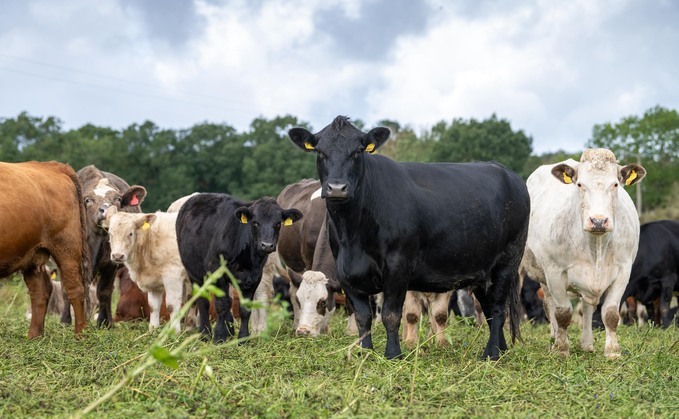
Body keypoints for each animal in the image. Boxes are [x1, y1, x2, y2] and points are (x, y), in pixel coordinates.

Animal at [0, 161, 90, 338]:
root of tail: (53, 166)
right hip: (33, 255)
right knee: (40, 291)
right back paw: (34, 336)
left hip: (67, 248)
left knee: (75, 288)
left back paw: (81, 335)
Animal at [61, 165, 147, 328]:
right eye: (88, 200)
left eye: (118, 199)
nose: (106, 210)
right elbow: (67, 289)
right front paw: (66, 321)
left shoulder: (112, 263)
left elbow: (104, 292)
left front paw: (103, 322)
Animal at [175, 193, 302, 342]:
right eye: (255, 222)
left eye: (278, 223)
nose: (267, 245)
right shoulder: (217, 271)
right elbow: (221, 305)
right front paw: (219, 336)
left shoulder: (254, 276)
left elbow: (245, 308)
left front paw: (243, 338)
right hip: (194, 272)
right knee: (203, 300)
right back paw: (205, 333)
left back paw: (229, 330)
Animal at [288, 116, 529, 360]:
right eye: (320, 151)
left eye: (357, 151)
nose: (337, 188)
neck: (353, 233)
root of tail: (507, 172)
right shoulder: (346, 272)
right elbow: (363, 317)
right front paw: (366, 353)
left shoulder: (398, 265)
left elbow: (391, 314)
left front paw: (393, 355)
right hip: (481, 268)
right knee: (489, 308)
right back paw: (501, 348)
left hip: (508, 261)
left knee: (498, 307)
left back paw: (491, 354)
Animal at [521, 148, 645, 358]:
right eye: (580, 184)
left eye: (615, 184)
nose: (598, 220)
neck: (596, 246)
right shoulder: (554, 272)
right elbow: (563, 313)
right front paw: (562, 349)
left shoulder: (623, 271)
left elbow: (610, 313)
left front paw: (613, 351)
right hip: (541, 274)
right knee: (550, 305)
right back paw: (555, 338)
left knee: (587, 307)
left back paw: (586, 343)